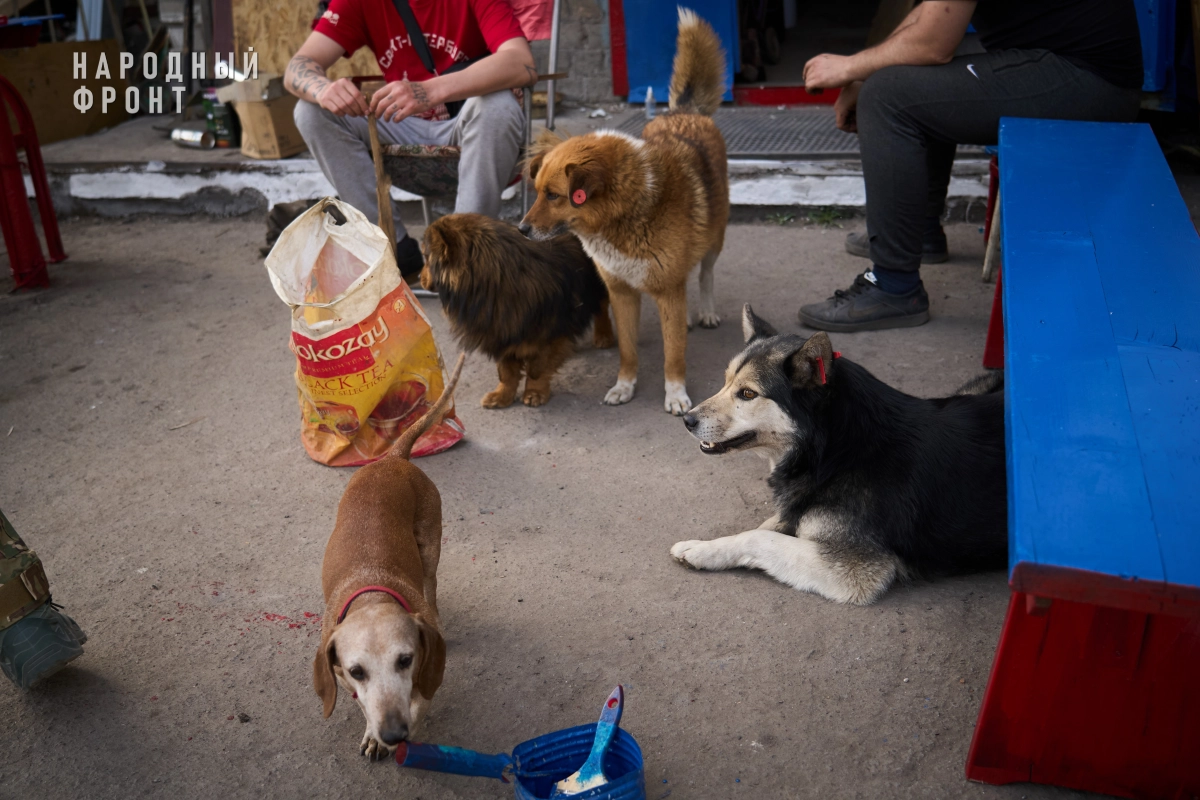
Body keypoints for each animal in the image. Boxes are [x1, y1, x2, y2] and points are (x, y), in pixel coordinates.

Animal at [314, 352, 463, 762]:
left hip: (430, 549)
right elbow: (365, 705)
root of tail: (392, 458)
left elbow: (419, 700)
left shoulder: (424, 674)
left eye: (405, 660)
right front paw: (371, 732)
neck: (372, 591)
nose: (394, 733)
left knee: (431, 585)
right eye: (356, 671)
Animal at [420, 214, 609, 407]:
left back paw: (603, 335)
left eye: (426, 257)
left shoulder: (547, 335)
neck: (495, 281)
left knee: (602, 308)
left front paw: (534, 392)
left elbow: (536, 369)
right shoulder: (501, 333)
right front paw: (502, 395)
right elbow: (506, 372)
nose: (419, 277)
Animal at [518, 7, 724, 419]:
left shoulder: (667, 291)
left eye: (553, 195)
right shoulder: (621, 293)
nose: (521, 229)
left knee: (706, 273)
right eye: (537, 192)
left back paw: (706, 311)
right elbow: (627, 350)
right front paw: (624, 387)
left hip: (717, 236)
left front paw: (675, 394)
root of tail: (684, 111)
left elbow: (673, 354)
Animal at [672, 303, 1008, 604]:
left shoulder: (854, 568)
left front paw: (701, 549)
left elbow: (759, 537)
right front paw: (704, 547)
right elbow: (764, 527)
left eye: (747, 394)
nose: (687, 420)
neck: (834, 451)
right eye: (726, 382)